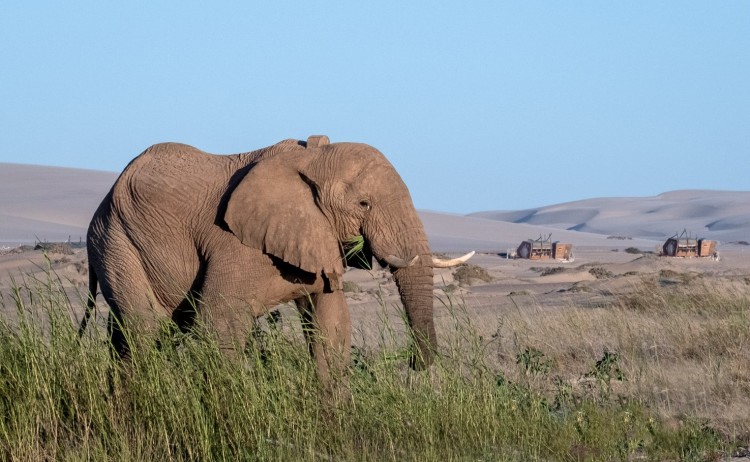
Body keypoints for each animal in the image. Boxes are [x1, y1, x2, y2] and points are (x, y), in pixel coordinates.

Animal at [79, 135, 473, 381]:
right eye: (364, 204)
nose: (412, 362)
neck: (312, 159)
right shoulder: (235, 244)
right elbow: (221, 321)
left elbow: (331, 328)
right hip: (116, 241)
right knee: (143, 329)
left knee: (130, 334)